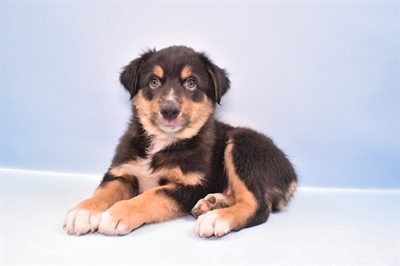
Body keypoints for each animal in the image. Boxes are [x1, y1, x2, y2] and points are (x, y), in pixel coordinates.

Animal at [63, 45, 296, 237]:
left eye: (191, 83)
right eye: (154, 82)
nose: (169, 110)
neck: (164, 141)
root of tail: (292, 175)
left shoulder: (195, 184)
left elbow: (154, 194)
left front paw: (119, 213)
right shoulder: (122, 172)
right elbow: (105, 190)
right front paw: (83, 211)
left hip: (241, 146)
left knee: (259, 205)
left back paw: (216, 218)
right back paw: (212, 203)